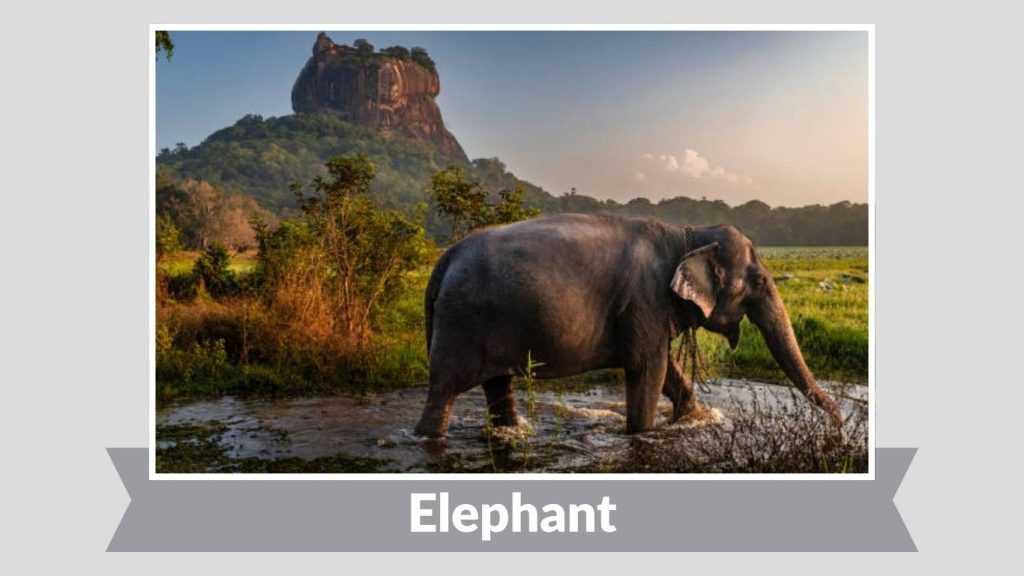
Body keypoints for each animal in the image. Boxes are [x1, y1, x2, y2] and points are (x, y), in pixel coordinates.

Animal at [414, 213, 843, 437]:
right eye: (758, 282)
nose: (838, 423)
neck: (688, 234)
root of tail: (444, 260)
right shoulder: (645, 299)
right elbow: (648, 367)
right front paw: (644, 432)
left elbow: (668, 370)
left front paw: (694, 419)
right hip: (462, 322)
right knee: (444, 390)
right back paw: (428, 435)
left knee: (498, 385)